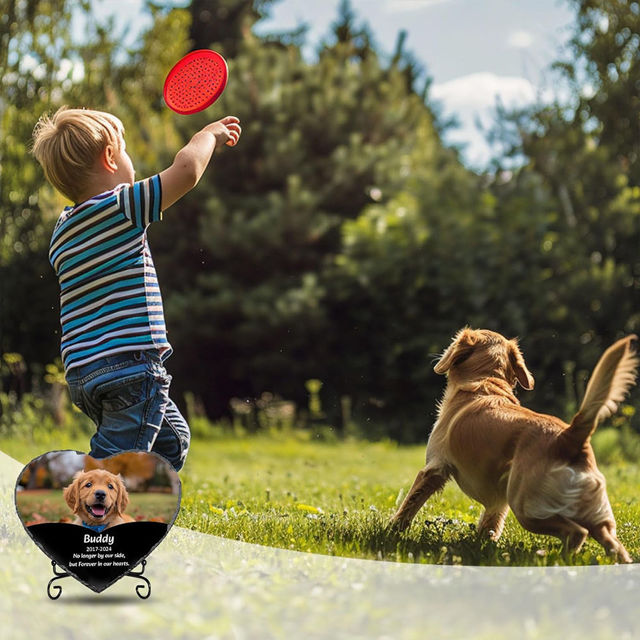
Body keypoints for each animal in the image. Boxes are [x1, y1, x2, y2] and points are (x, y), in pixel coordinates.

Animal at [390, 328, 636, 564]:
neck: (485, 382)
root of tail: (569, 437)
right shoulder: (498, 500)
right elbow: (490, 525)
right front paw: (480, 547)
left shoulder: (434, 468)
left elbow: (408, 507)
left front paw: (390, 533)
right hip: (597, 518)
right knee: (612, 544)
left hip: (527, 507)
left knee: (576, 532)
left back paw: (554, 559)